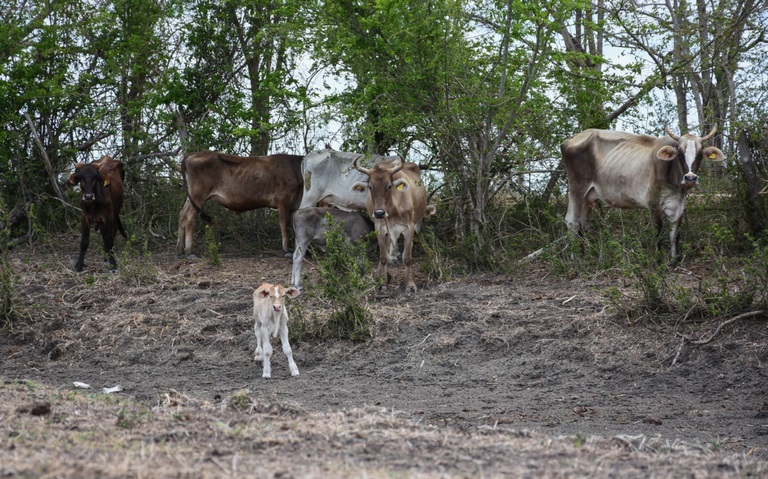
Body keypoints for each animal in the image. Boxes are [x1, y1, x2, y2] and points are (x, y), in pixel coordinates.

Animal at [176, 153, 304, 258]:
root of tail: (192, 155)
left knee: (182, 214)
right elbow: (285, 225)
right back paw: (189, 252)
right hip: (198, 194)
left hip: (192, 196)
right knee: (189, 217)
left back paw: (180, 251)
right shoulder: (283, 200)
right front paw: (287, 251)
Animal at [352, 158, 436, 292]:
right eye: (370, 187)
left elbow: (407, 257)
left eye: (389, 186)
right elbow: (383, 257)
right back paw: (380, 276)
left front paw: (410, 284)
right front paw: (383, 283)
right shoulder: (379, 228)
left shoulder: (409, 227)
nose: (379, 213)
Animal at [560, 124, 724, 258]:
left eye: (700, 154)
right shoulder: (653, 204)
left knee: (582, 224)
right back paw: (576, 259)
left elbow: (675, 233)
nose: (690, 177)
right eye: (680, 153)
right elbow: (658, 232)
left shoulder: (679, 204)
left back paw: (584, 256)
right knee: (572, 221)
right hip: (577, 187)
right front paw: (658, 262)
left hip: (589, 196)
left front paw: (674, 260)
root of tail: (572, 139)